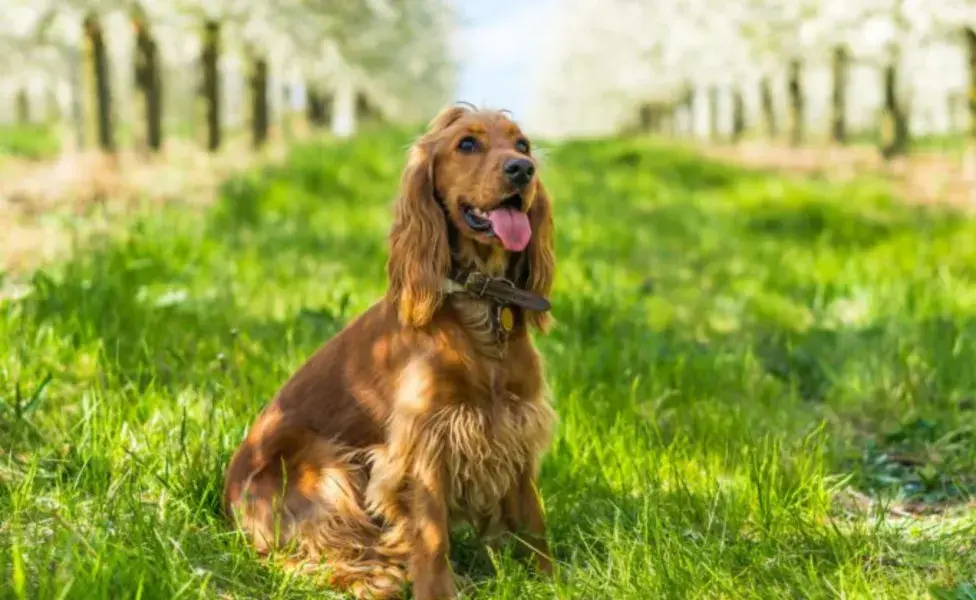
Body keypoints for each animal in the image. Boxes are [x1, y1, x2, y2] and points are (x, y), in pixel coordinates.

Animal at [222, 105, 556, 596]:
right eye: (467, 144)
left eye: (523, 145)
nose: (522, 170)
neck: (479, 306)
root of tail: (228, 504)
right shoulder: (426, 439)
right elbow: (431, 535)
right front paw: (438, 592)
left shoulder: (515, 424)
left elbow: (532, 519)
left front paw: (552, 580)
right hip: (324, 466)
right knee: (316, 555)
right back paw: (379, 576)